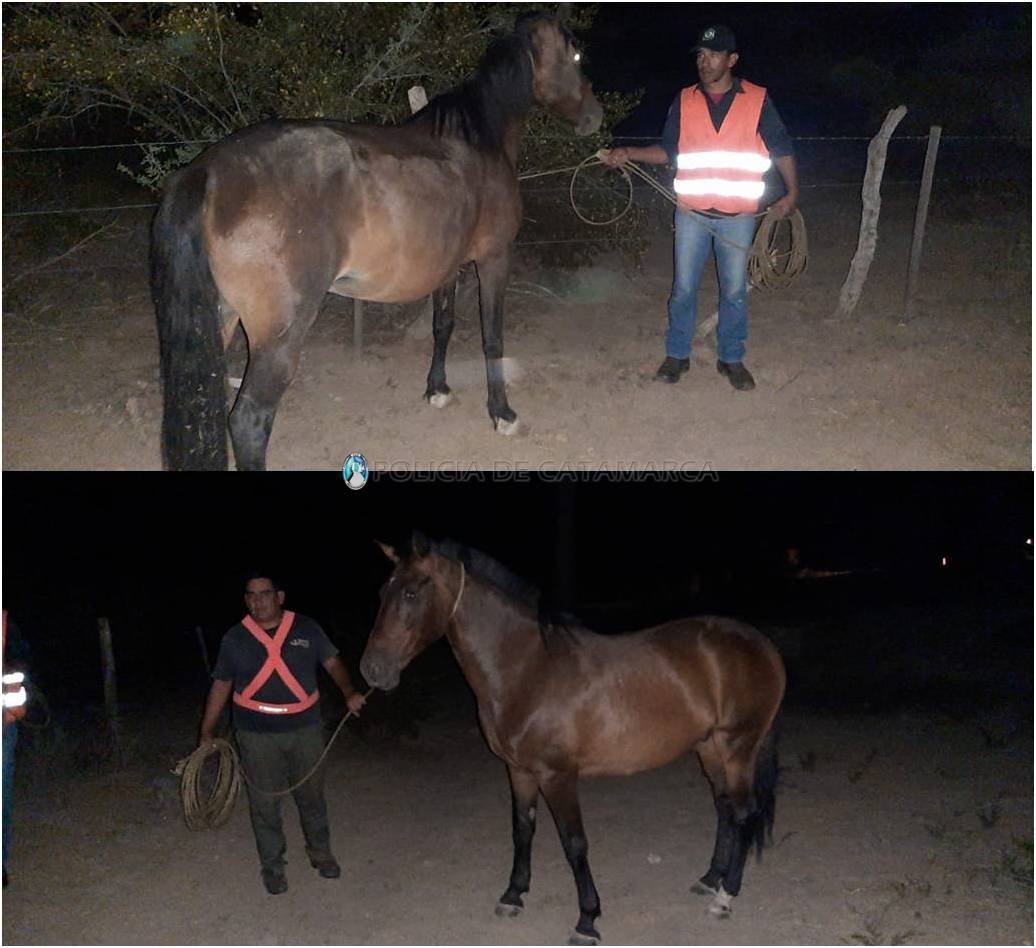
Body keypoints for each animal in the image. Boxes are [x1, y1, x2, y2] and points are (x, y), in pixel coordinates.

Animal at [148, 16, 600, 468]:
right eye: (577, 55)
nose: (595, 117)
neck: (478, 141)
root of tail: (206, 172)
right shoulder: (494, 258)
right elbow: (493, 338)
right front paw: (502, 413)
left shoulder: (448, 266)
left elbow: (443, 324)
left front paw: (437, 390)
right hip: (276, 336)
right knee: (248, 420)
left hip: (220, 317)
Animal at [362, 538, 783, 944]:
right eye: (382, 591)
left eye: (412, 593)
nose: (372, 670)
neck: (529, 670)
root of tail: (760, 644)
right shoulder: (518, 770)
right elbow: (522, 830)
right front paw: (513, 895)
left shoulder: (558, 776)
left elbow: (574, 843)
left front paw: (587, 921)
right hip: (709, 749)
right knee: (724, 808)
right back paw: (710, 879)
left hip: (737, 748)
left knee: (743, 814)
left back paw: (725, 897)